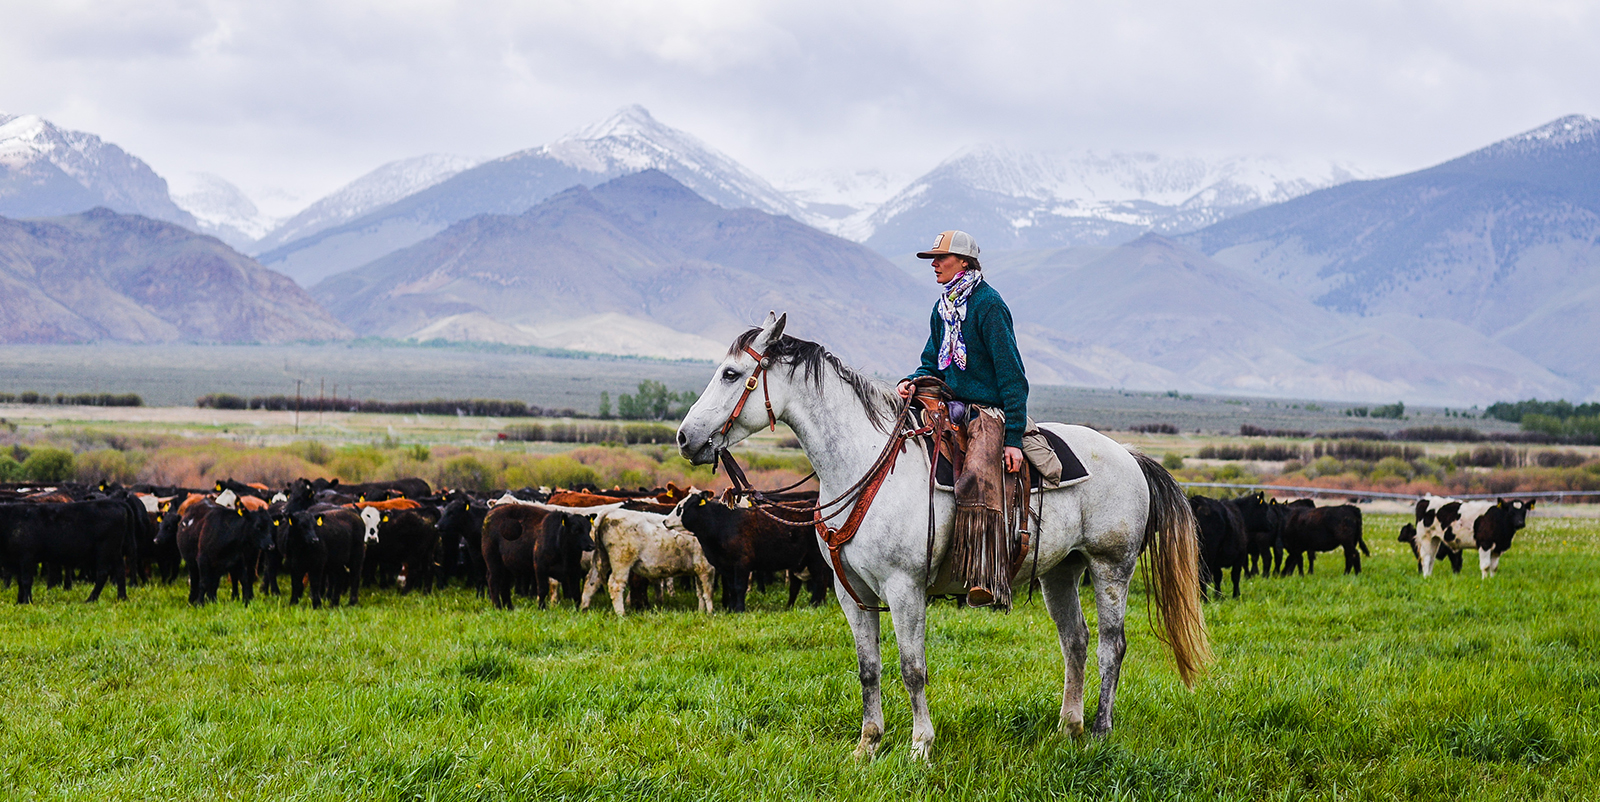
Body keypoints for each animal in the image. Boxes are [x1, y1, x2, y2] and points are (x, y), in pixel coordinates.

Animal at [0, 496, 139, 601]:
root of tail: (117, 502)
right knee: (120, 570)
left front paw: (27, 601)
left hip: (105, 549)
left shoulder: (27, 556)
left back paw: (91, 599)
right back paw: (122, 597)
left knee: (103, 572)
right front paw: (19, 601)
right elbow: (20, 581)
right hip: (115, 550)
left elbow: (26, 580)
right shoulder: (16, 560)